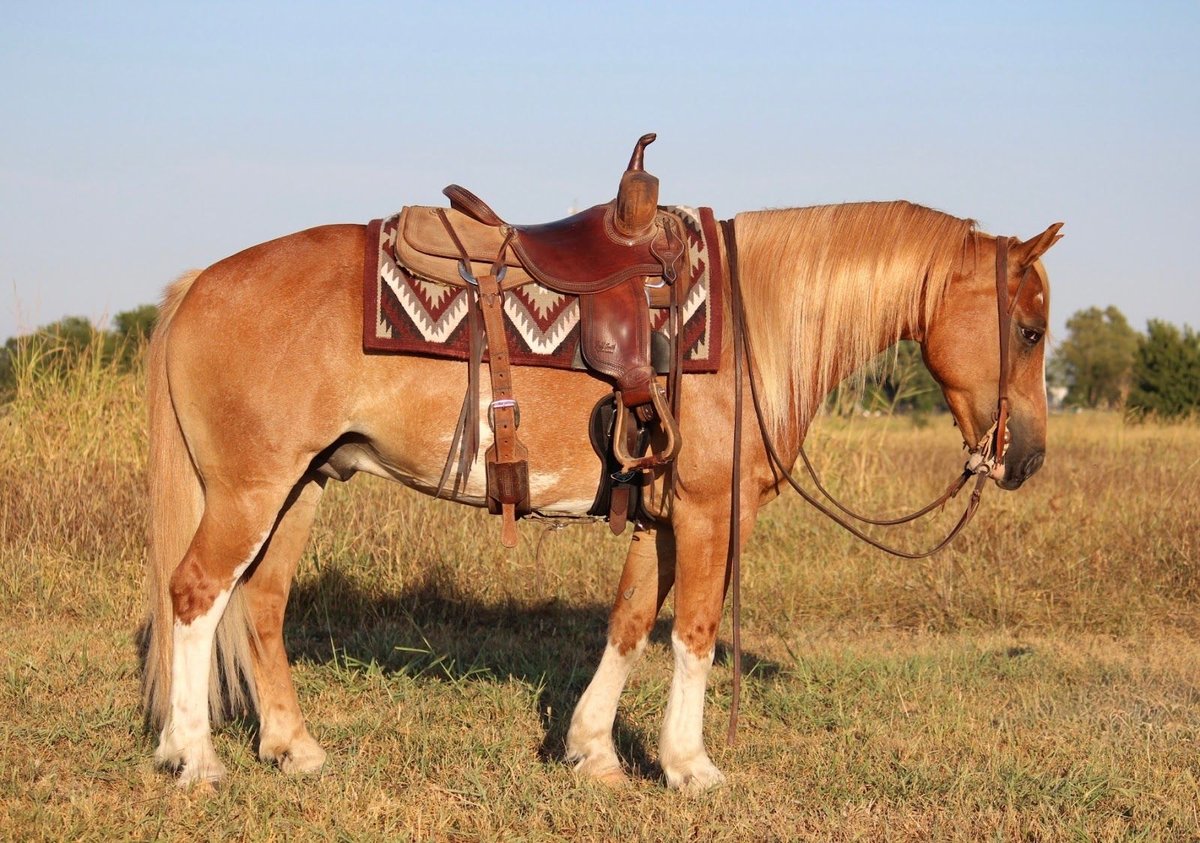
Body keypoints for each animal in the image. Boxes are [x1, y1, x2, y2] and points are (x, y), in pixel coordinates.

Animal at [142, 199, 1060, 791]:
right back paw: (193, 757)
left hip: (301, 486)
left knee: (260, 603)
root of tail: (198, 280)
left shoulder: (659, 518)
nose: (1027, 457)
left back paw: (293, 748)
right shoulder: (706, 512)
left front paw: (594, 750)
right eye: (1029, 328)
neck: (754, 323)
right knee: (195, 595)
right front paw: (690, 765)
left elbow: (629, 622)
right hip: (251, 491)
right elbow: (692, 631)